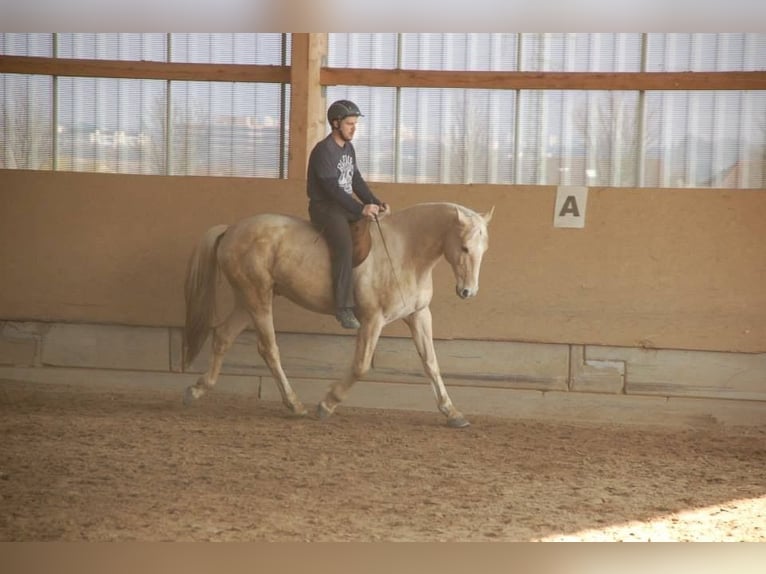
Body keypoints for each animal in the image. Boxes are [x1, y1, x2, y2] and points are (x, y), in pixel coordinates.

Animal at [187, 202, 498, 428]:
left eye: (484, 250)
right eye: (465, 247)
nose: (468, 291)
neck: (405, 252)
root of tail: (232, 229)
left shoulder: (419, 315)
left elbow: (431, 364)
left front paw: (452, 413)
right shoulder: (373, 319)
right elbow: (361, 366)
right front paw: (327, 404)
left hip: (248, 299)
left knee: (223, 335)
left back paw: (199, 389)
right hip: (258, 297)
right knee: (269, 348)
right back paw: (295, 404)